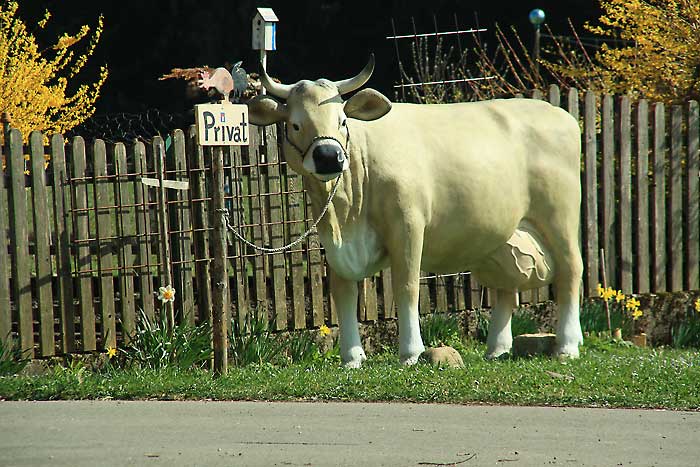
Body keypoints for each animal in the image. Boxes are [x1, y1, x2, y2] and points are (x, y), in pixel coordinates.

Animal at [247, 55, 584, 370]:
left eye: (342, 120)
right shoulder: (332, 241)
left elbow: (406, 286)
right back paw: (497, 349)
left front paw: (410, 352)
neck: (346, 214)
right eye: (295, 124)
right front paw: (352, 358)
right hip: (503, 236)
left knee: (571, 271)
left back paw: (567, 345)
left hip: (561, 217)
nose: (329, 156)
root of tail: (560, 115)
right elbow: (343, 293)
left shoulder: (407, 224)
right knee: (506, 287)